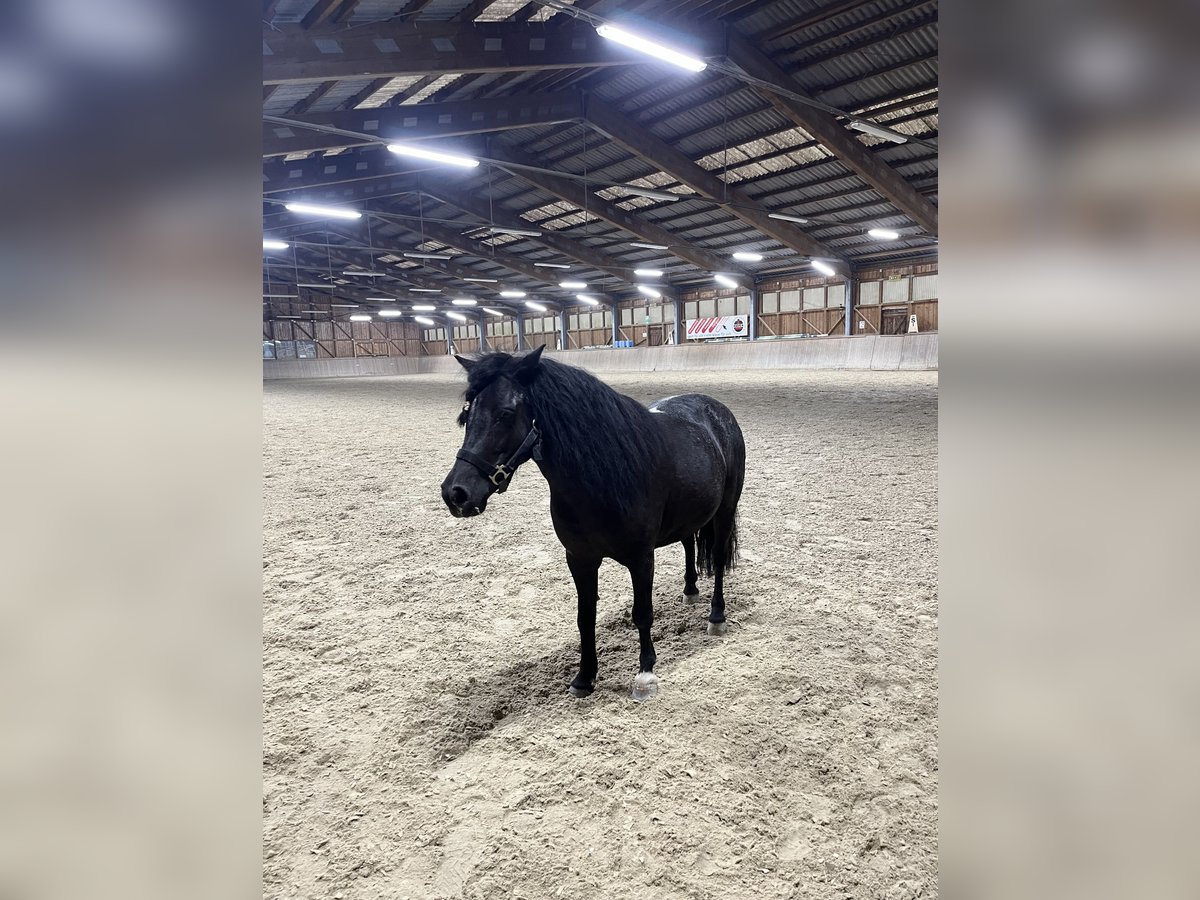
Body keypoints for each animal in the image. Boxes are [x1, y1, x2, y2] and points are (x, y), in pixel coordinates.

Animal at [441, 348, 739, 700]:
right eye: (466, 415)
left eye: (505, 413)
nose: (455, 494)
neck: (601, 478)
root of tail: (716, 410)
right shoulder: (580, 559)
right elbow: (585, 618)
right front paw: (584, 677)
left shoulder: (641, 558)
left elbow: (642, 614)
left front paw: (645, 675)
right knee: (688, 541)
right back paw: (690, 591)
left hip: (725, 512)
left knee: (717, 561)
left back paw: (716, 617)